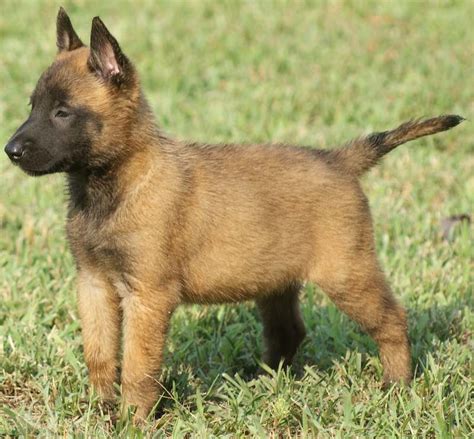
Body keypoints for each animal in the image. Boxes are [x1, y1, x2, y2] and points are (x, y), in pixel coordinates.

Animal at [3, 6, 462, 420]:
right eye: (32, 106)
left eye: (62, 112)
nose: (11, 150)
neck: (121, 183)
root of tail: (338, 159)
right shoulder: (93, 283)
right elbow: (99, 354)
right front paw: (98, 409)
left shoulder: (147, 295)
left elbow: (137, 366)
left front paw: (133, 420)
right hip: (277, 281)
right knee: (288, 333)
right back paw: (262, 382)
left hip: (347, 274)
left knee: (393, 321)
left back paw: (397, 385)